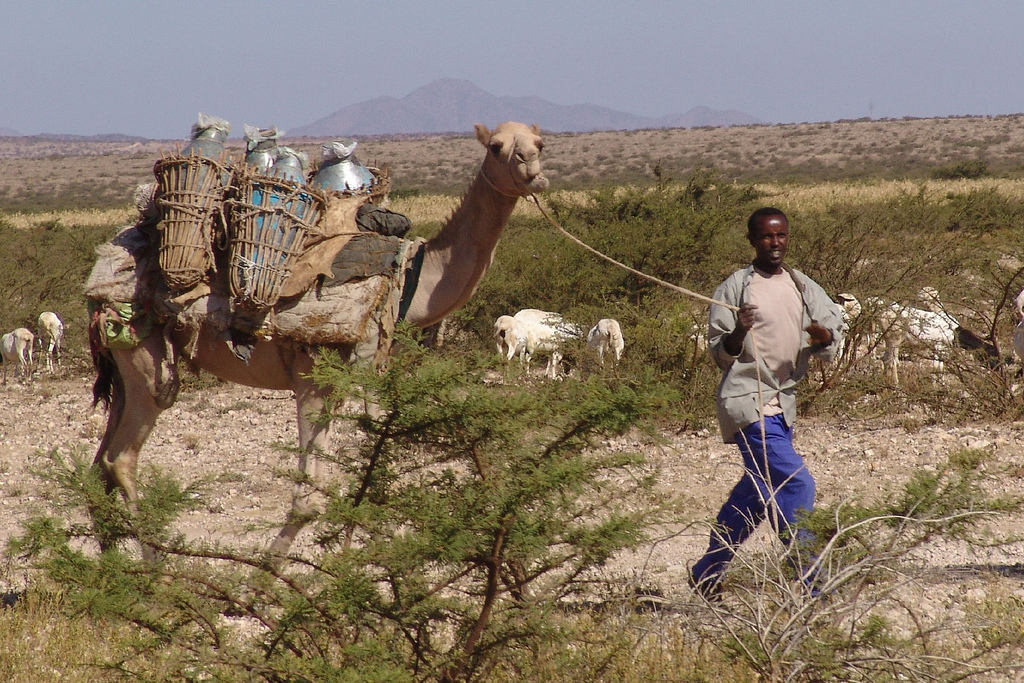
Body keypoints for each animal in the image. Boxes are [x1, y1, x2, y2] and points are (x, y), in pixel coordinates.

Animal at [92, 122, 548, 561]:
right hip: (142, 351)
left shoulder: (364, 377)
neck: (408, 282)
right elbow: (310, 494)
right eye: (497, 147)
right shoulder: (314, 379)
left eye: (539, 143)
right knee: (123, 455)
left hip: (122, 363)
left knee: (100, 462)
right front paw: (268, 578)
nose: (532, 169)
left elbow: (371, 472)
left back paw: (110, 564)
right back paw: (159, 571)